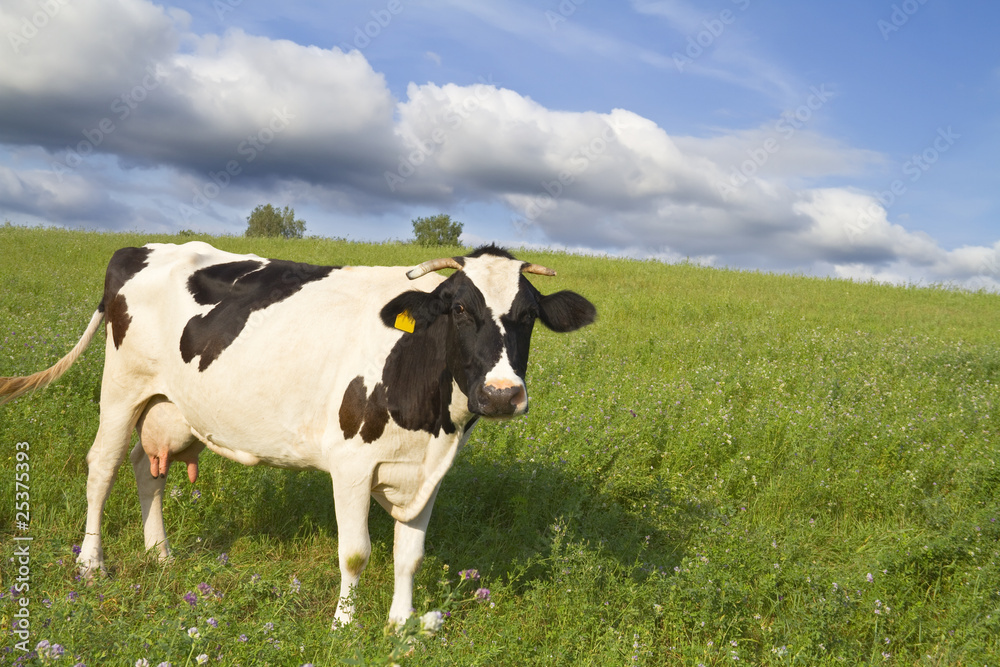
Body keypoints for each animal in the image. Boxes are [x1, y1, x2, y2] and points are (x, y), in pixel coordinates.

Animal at [0, 243, 592, 628]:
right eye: (461, 308)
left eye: (529, 315)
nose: (502, 394)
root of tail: (139, 247)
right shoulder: (352, 465)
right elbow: (355, 553)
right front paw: (344, 627)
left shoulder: (428, 470)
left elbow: (410, 555)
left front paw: (401, 627)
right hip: (122, 389)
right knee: (101, 467)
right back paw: (91, 565)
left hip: (167, 403)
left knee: (150, 472)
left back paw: (161, 555)